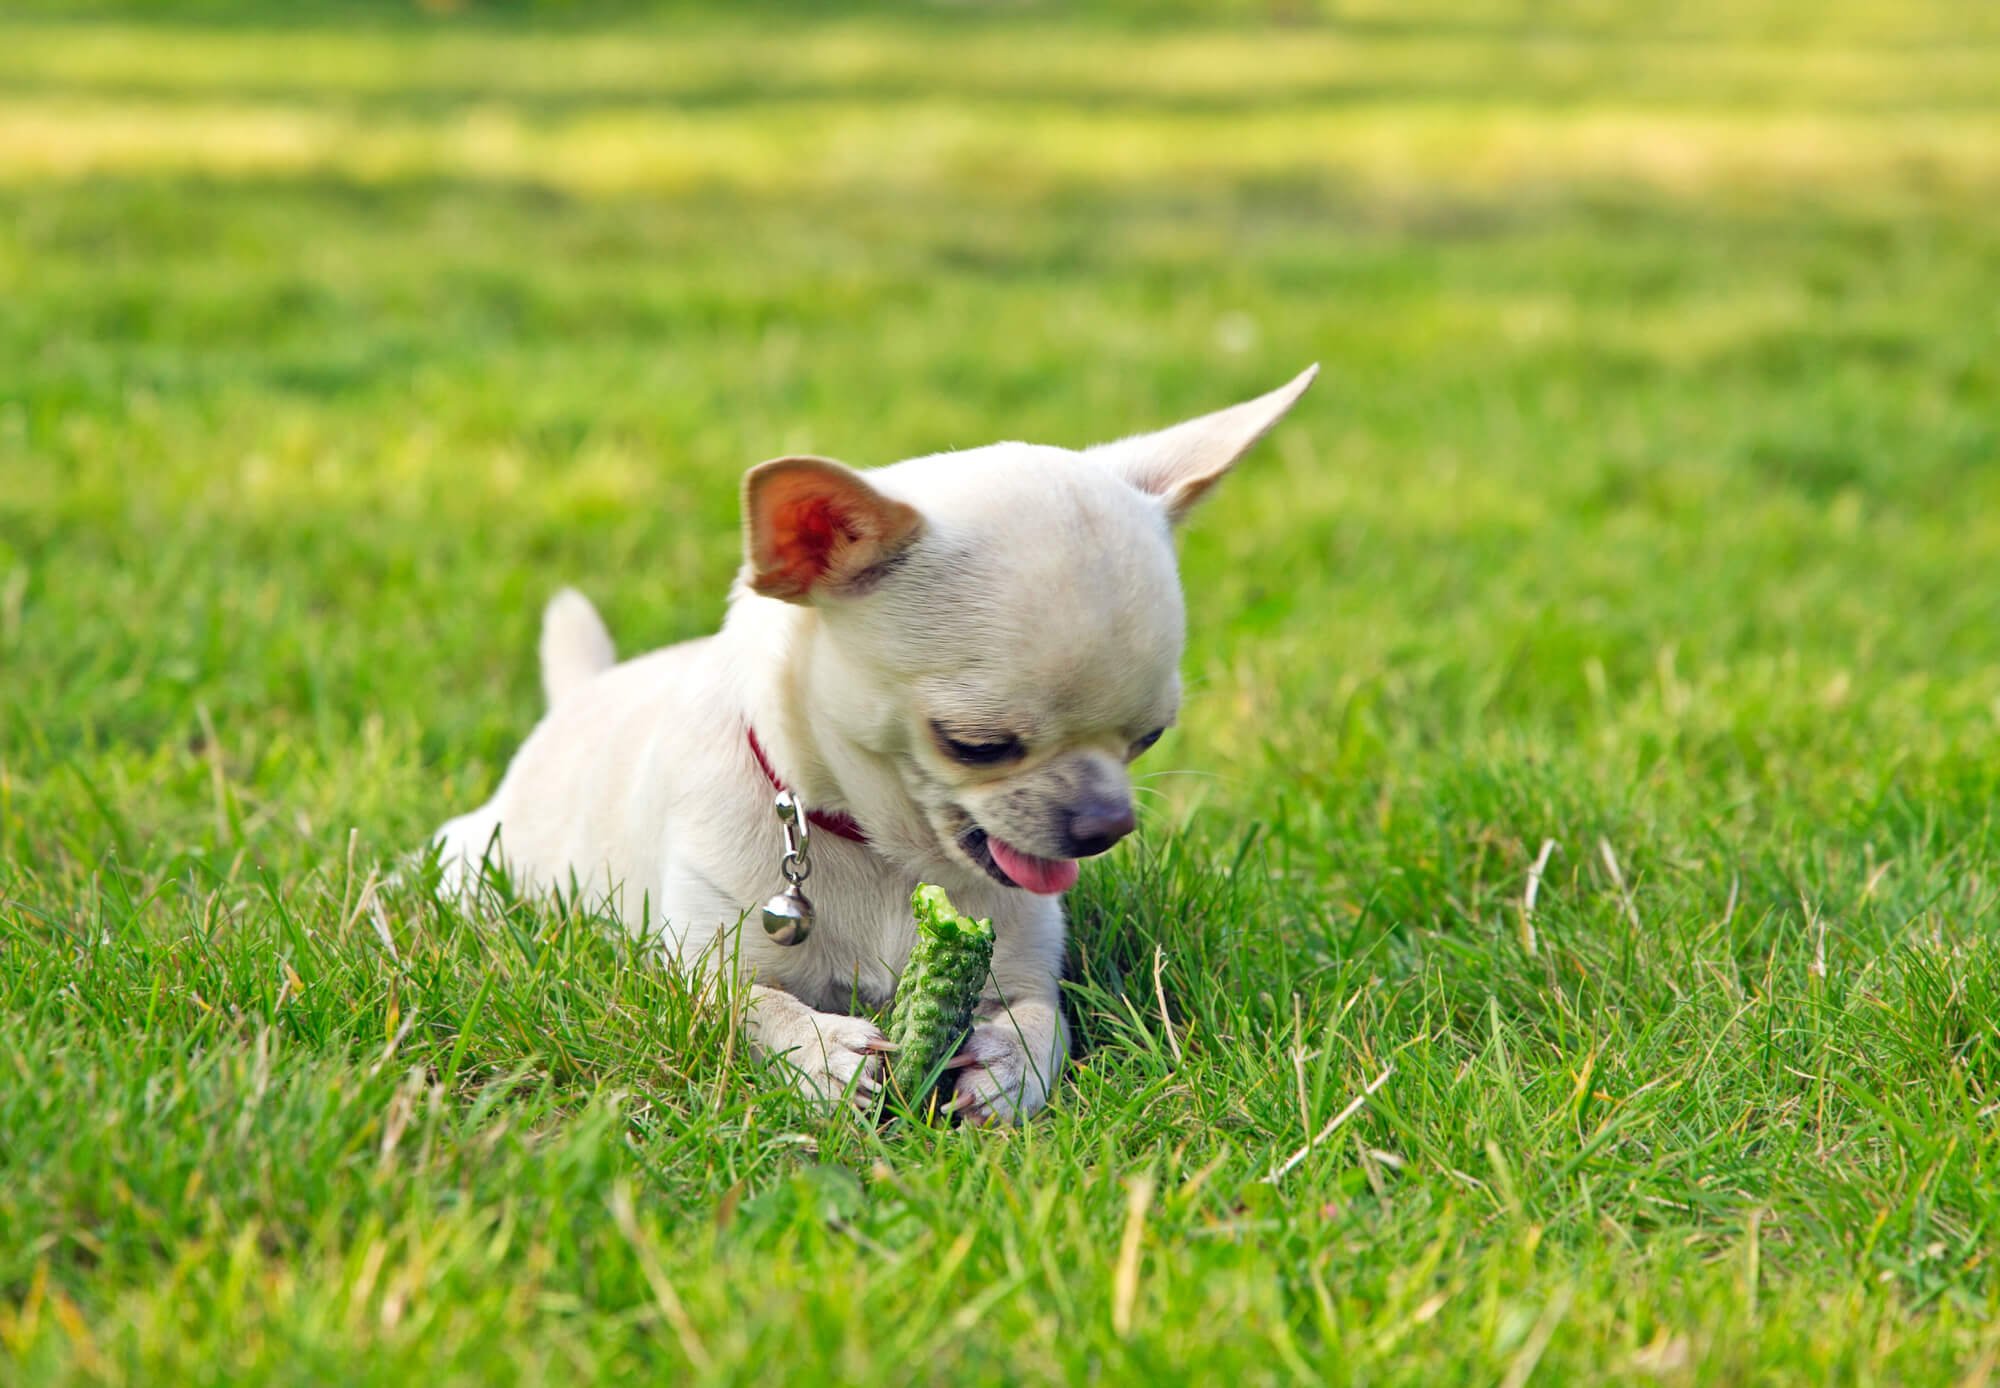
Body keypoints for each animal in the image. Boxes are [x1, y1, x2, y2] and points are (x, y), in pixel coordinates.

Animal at [434, 364, 1312, 1128]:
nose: (1106, 824)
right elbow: (749, 1006)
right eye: (976, 745)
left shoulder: (1023, 963)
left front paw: (1009, 1069)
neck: (890, 859)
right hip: (478, 863)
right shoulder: (700, 964)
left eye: (1150, 738)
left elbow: (1045, 1017)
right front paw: (820, 1054)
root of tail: (581, 690)